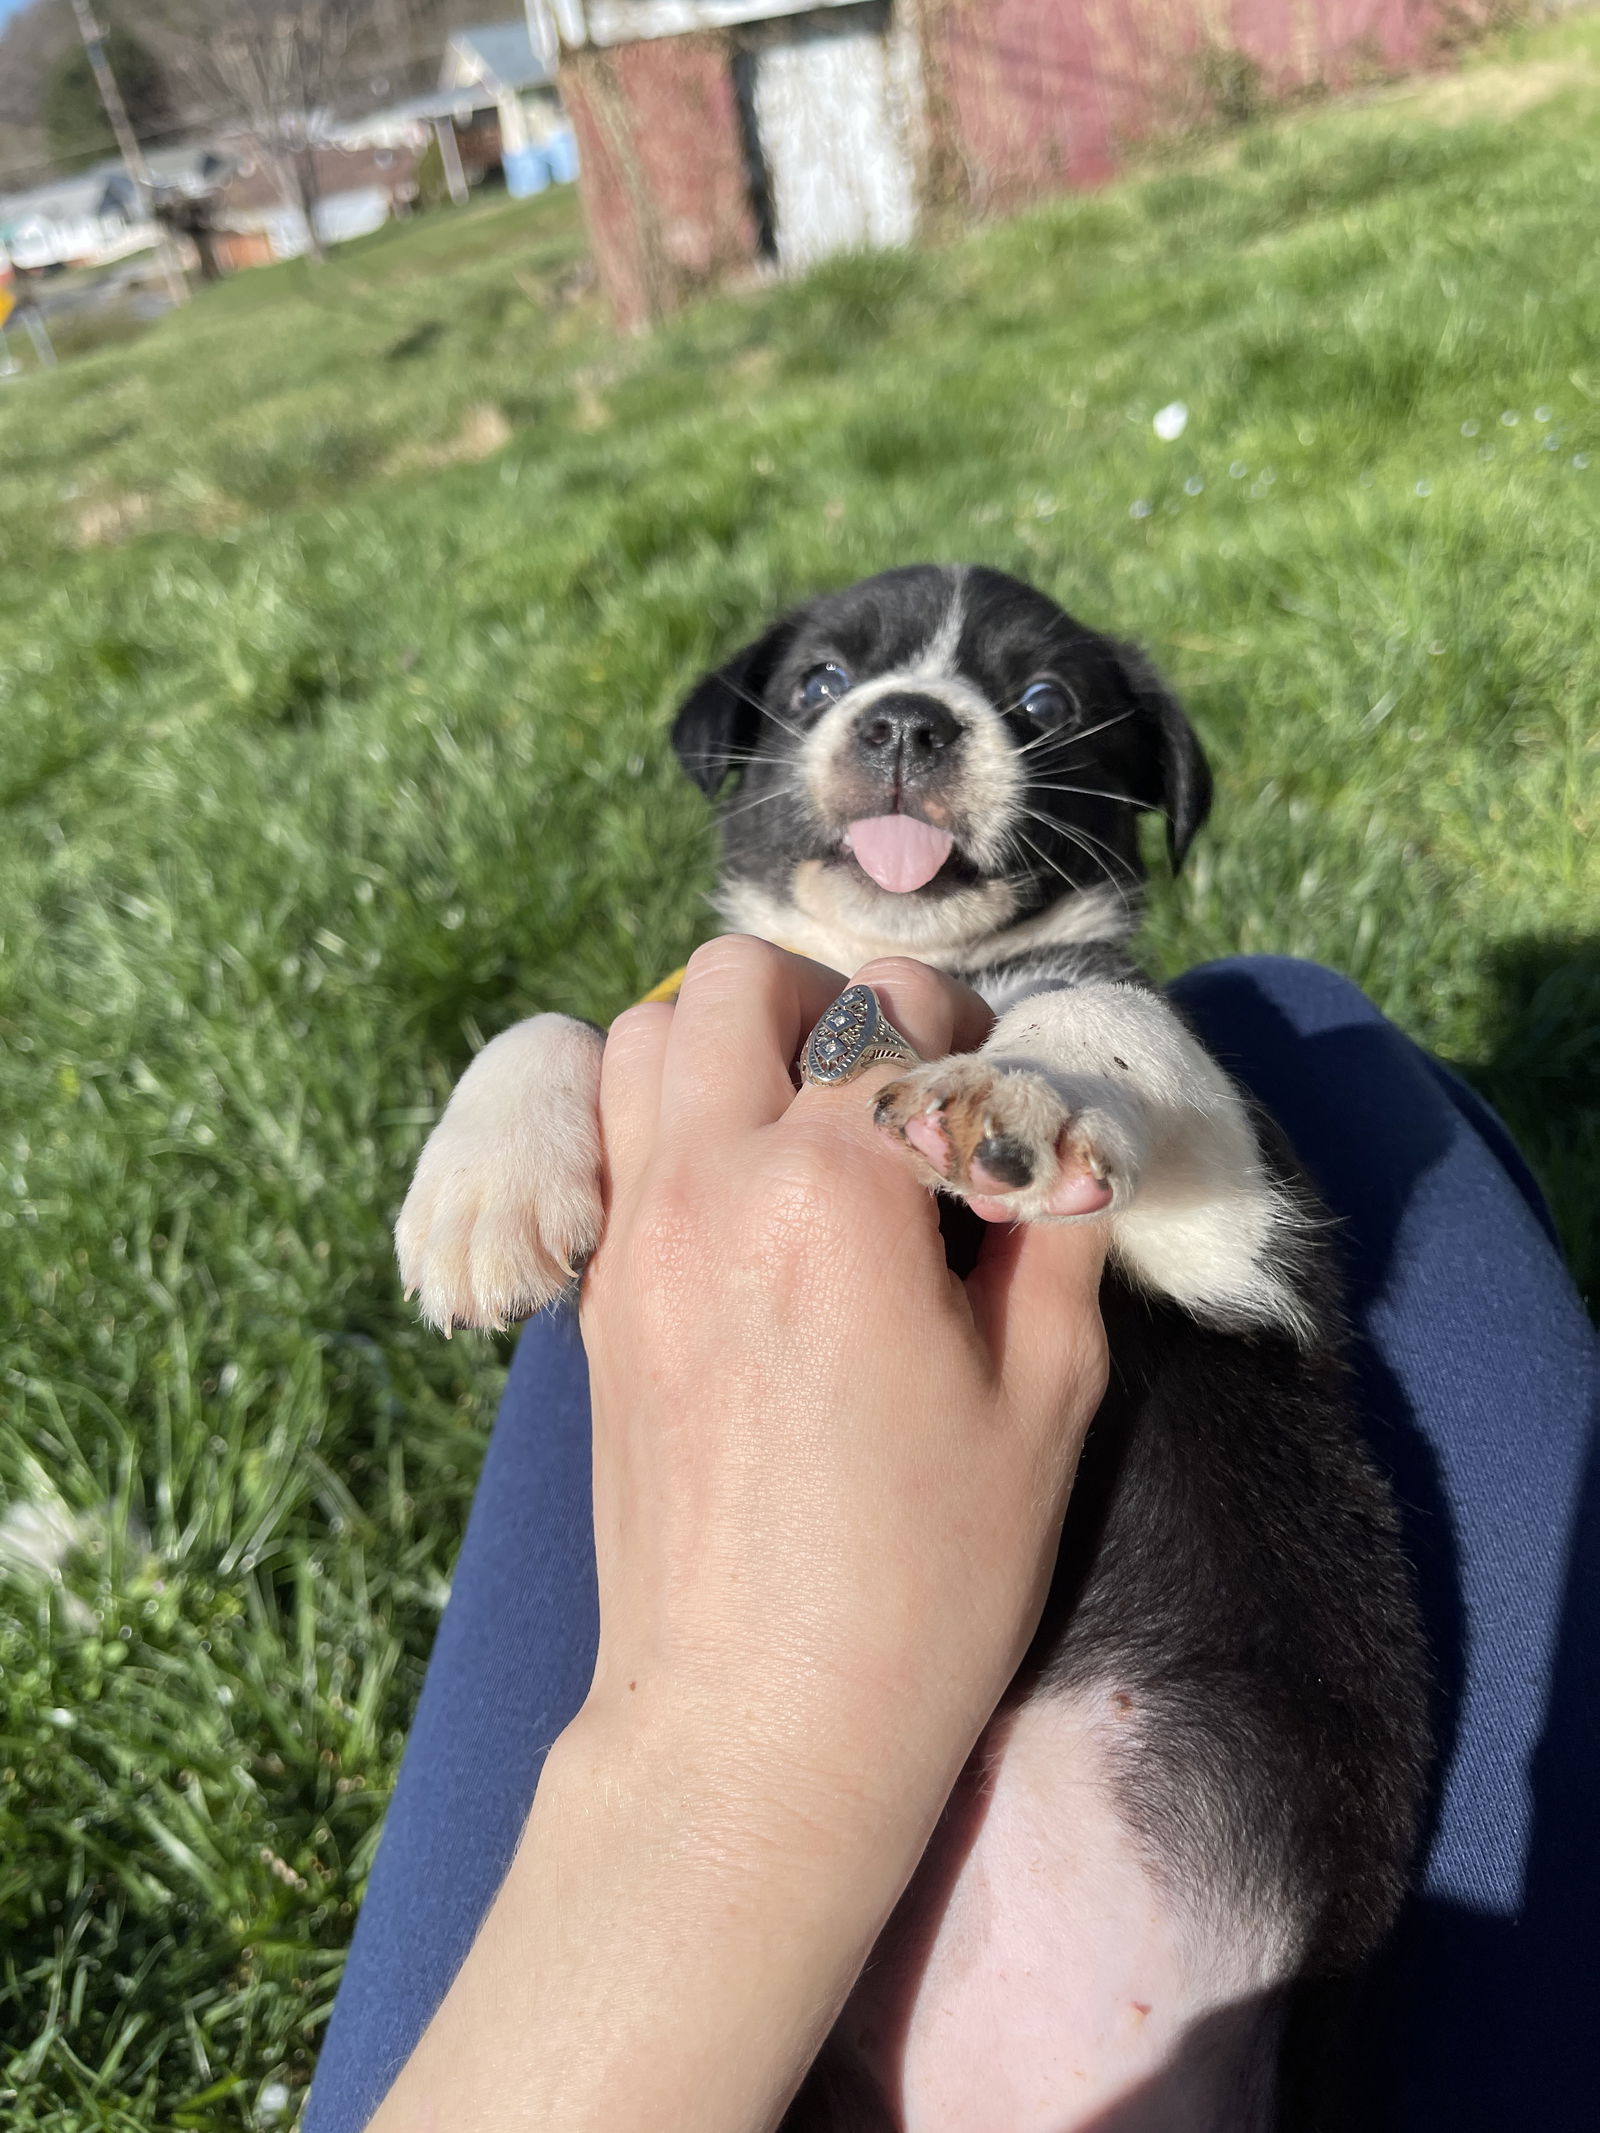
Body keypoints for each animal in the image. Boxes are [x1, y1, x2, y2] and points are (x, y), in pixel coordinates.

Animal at [394, 567, 1433, 2133]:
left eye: (1047, 701)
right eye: (819, 682)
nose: (902, 722)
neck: (895, 964)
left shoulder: (1247, 1240)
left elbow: (1100, 1011)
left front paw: (1018, 1087)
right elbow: (570, 1009)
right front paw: (478, 1184)